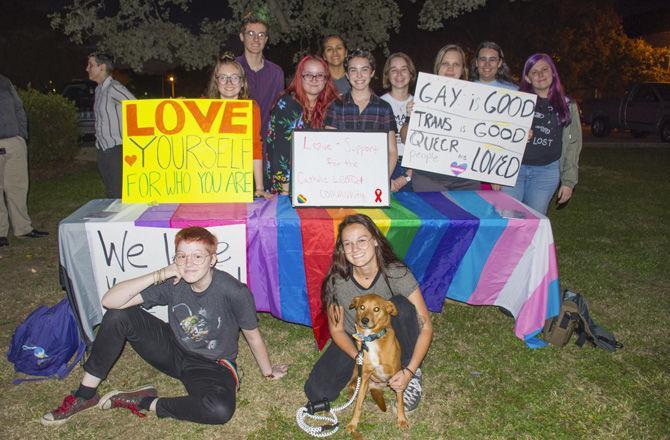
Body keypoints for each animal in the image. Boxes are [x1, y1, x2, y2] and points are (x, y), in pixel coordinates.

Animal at [346, 294, 410, 434]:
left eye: (376, 309)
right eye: (362, 307)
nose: (364, 320)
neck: (371, 338)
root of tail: (375, 387)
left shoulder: (396, 375)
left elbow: (400, 401)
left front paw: (402, 420)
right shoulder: (364, 377)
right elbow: (358, 404)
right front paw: (353, 423)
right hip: (357, 369)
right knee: (353, 384)